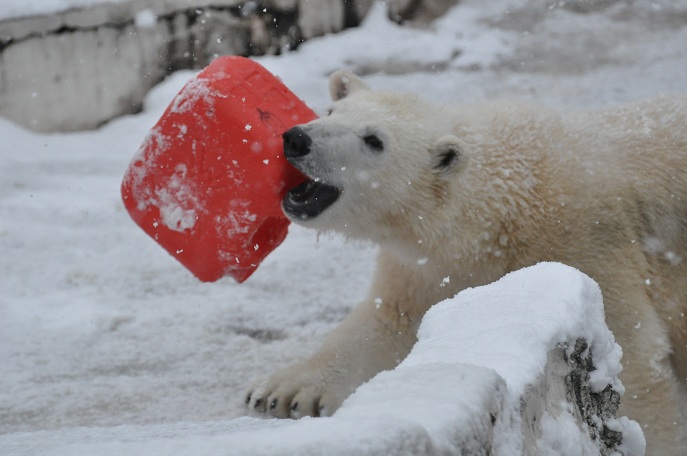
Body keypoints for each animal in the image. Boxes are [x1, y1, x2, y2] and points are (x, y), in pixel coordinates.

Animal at [247, 69, 687, 454]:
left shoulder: (590, 247)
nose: (297, 138)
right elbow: (386, 322)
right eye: (330, 111)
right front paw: (282, 391)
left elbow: (635, 360)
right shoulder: (425, 268)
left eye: (374, 140)